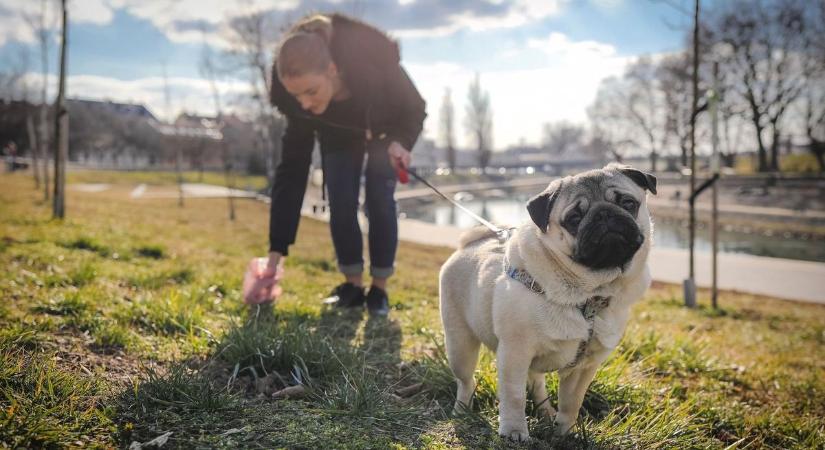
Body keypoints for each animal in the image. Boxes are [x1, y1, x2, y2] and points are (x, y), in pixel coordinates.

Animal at [438, 163, 656, 442]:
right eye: (574, 218)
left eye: (628, 203)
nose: (604, 214)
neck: (589, 295)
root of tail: (469, 245)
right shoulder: (515, 353)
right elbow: (514, 396)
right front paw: (514, 431)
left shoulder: (585, 366)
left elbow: (572, 402)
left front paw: (565, 433)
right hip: (460, 346)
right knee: (466, 382)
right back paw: (461, 411)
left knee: (537, 383)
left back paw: (545, 412)